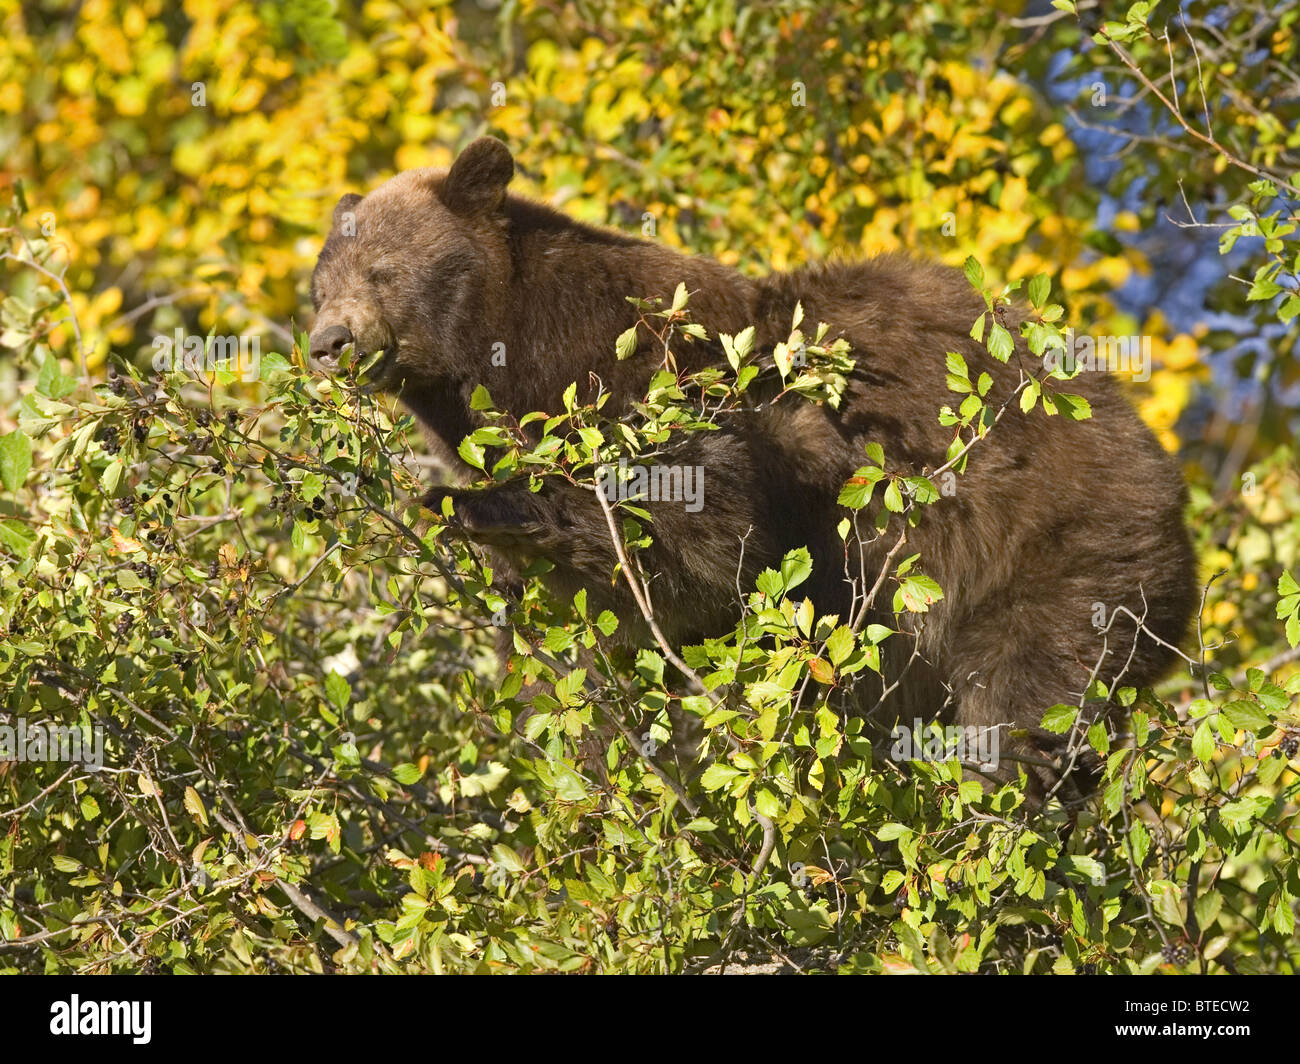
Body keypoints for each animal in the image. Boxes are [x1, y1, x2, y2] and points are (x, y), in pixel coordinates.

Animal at [308, 135, 1198, 798]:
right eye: (318, 284)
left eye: (383, 269)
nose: (328, 342)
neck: (510, 350)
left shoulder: (656, 375)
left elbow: (703, 536)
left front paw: (484, 508)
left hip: (1062, 539)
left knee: (1033, 674)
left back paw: (1013, 774)